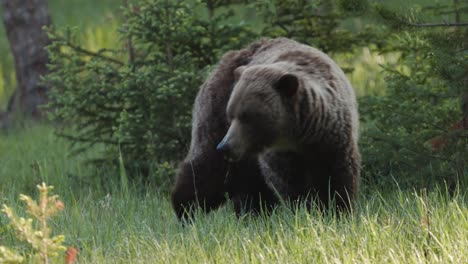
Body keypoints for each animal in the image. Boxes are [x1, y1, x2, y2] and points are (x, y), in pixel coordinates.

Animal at [170, 36, 360, 219]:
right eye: (232, 114)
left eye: (247, 116)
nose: (225, 146)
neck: (302, 138)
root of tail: (229, 55)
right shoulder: (280, 155)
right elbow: (290, 185)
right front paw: (307, 209)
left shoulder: (333, 140)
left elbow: (337, 178)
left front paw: (336, 210)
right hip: (216, 108)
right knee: (207, 167)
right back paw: (186, 209)